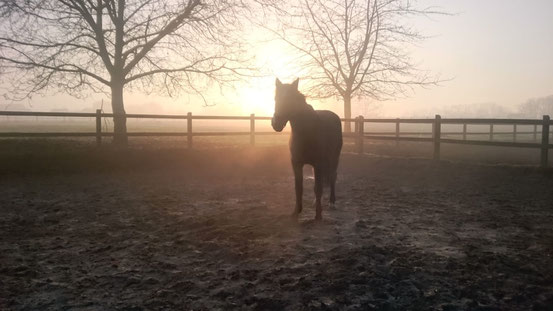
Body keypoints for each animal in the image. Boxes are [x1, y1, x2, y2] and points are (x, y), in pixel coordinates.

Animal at [270, 78, 342, 221]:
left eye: (290, 99)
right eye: (276, 98)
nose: (276, 123)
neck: (306, 131)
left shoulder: (318, 163)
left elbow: (318, 188)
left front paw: (318, 215)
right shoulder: (296, 163)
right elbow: (299, 187)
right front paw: (296, 211)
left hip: (334, 158)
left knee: (332, 177)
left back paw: (332, 202)